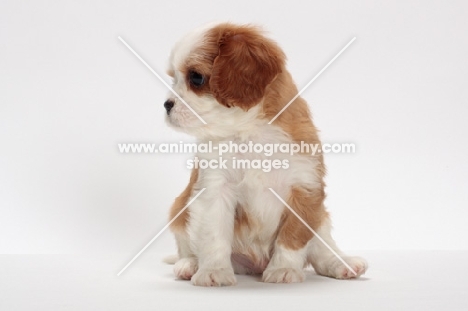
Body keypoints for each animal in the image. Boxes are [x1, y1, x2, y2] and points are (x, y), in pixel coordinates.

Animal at [164, 22, 366, 288]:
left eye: (196, 78)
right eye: (173, 79)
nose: (166, 105)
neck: (250, 134)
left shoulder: (305, 187)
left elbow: (292, 236)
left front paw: (283, 269)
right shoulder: (214, 188)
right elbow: (214, 234)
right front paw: (214, 271)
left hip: (320, 217)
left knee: (322, 246)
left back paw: (342, 263)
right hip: (180, 210)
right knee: (187, 246)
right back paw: (189, 265)